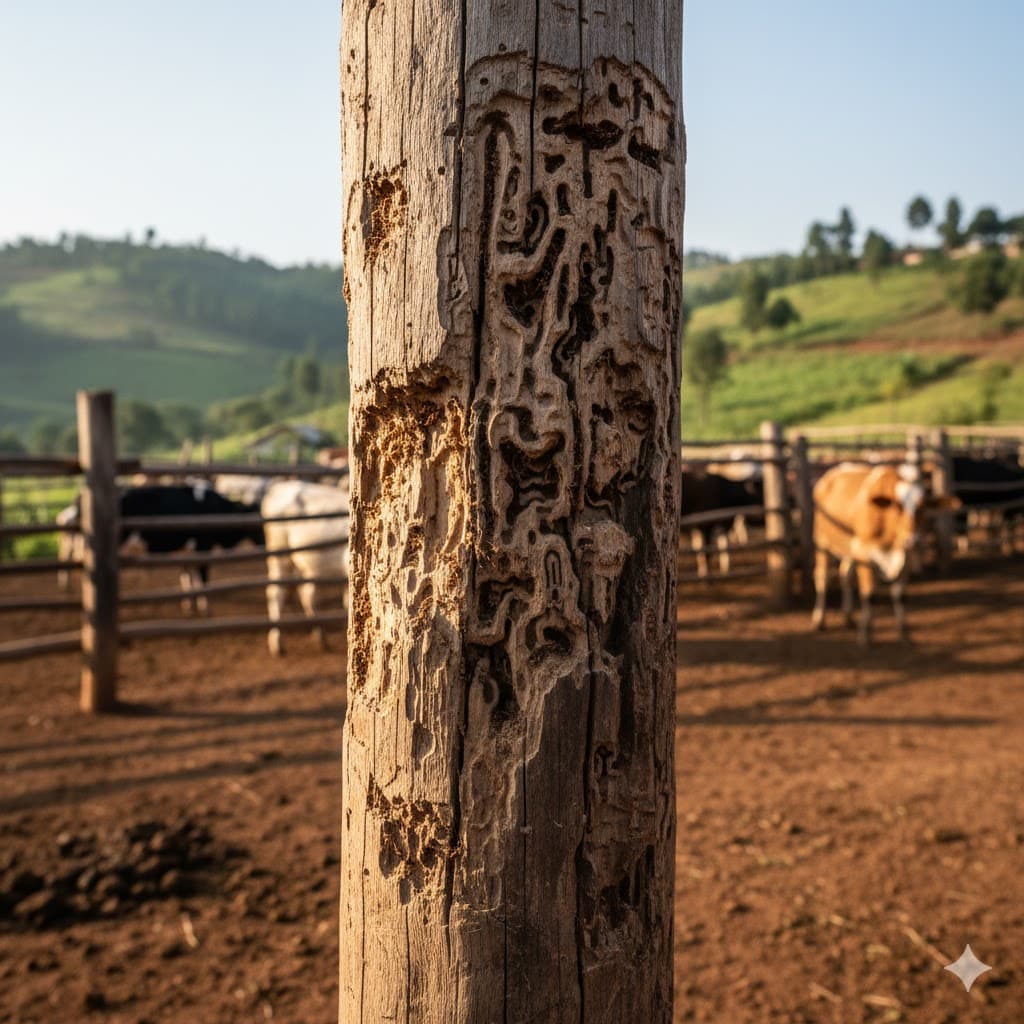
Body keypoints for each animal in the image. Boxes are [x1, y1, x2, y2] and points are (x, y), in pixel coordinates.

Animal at [261, 479, 350, 656]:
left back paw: (320, 636)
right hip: (280, 555)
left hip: (305, 564)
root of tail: (279, 487)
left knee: (307, 594)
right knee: (276, 593)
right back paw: (277, 642)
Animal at [811, 463, 958, 645]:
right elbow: (869, 595)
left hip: (848, 548)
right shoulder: (864, 553)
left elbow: (899, 595)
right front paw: (866, 634)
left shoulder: (906, 555)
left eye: (922, 508)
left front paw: (904, 632)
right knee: (822, 578)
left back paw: (848, 617)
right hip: (822, 542)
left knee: (845, 575)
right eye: (897, 506)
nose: (913, 540)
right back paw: (819, 620)